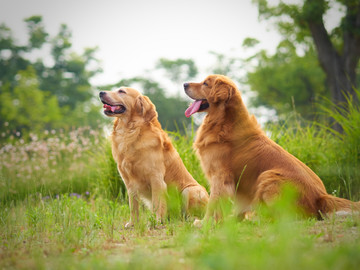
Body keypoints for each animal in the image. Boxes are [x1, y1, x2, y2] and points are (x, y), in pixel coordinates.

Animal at [100, 86, 210, 226]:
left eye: (121, 91)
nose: (100, 92)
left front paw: (156, 222)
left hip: (190, 190)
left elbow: (158, 203)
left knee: (190, 215)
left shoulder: (156, 178)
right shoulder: (129, 183)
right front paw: (133, 223)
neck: (130, 132)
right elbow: (133, 206)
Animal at [184, 75, 358, 220]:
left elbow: (213, 203)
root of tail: (321, 196)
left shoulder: (220, 176)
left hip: (268, 176)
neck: (223, 122)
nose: (185, 84)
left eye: (205, 83)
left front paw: (206, 224)